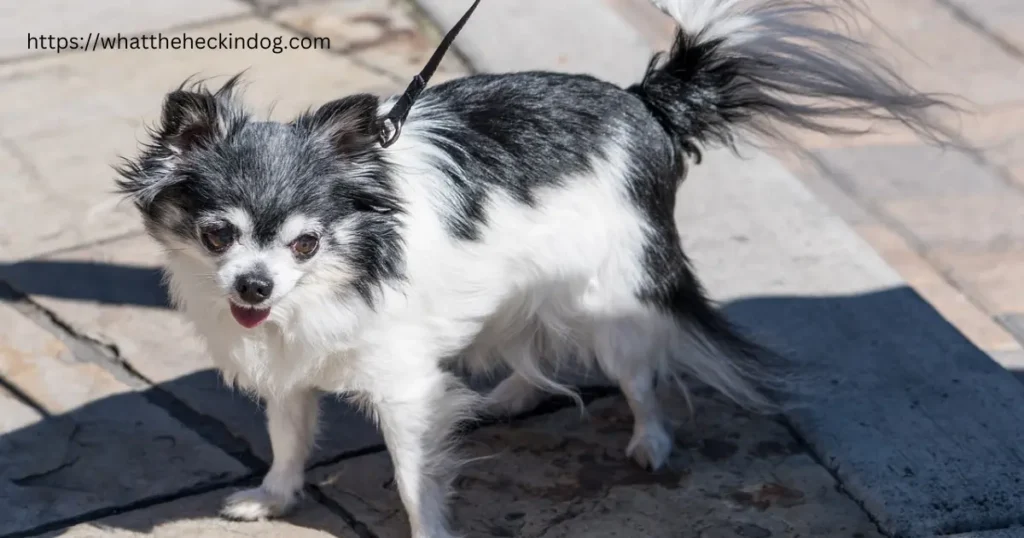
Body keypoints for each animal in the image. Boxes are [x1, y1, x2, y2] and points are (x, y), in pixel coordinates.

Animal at [116, 1, 946, 536]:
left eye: (304, 245)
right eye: (217, 236)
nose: (253, 286)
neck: (345, 266)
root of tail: (644, 104)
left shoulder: (403, 386)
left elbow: (415, 479)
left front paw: (427, 531)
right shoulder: (291, 366)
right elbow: (289, 435)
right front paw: (275, 498)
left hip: (613, 299)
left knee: (637, 377)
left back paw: (650, 442)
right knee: (530, 343)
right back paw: (507, 397)